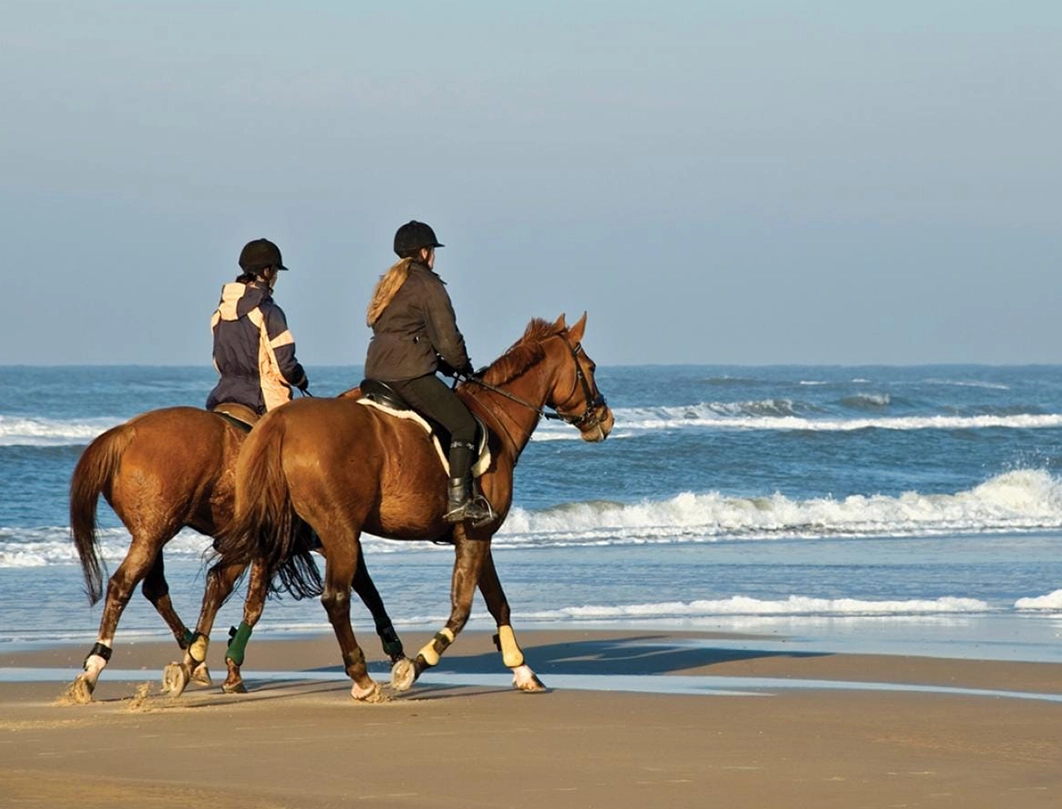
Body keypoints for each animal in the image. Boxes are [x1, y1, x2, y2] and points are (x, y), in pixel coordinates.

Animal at [68, 405, 406, 703]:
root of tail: (125, 433)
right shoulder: (329, 539)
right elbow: (364, 591)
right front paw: (396, 654)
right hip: (154, 533)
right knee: (123, 585)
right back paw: (94, 668)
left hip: (151, 535)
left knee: (154, 588)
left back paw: (191, 656)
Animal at [214, 312, 613, 702]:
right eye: (591, 367)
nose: (605, 419)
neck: (496, 415)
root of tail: (281, 422)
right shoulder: (475, 535)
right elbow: (462, 610)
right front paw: (415, 666)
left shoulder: (477, 538)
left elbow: (498, 602)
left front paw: (523, 670)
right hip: (338, 533)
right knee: (335, 598)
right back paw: (362, 680)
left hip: (285, 530)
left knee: (251, 588)